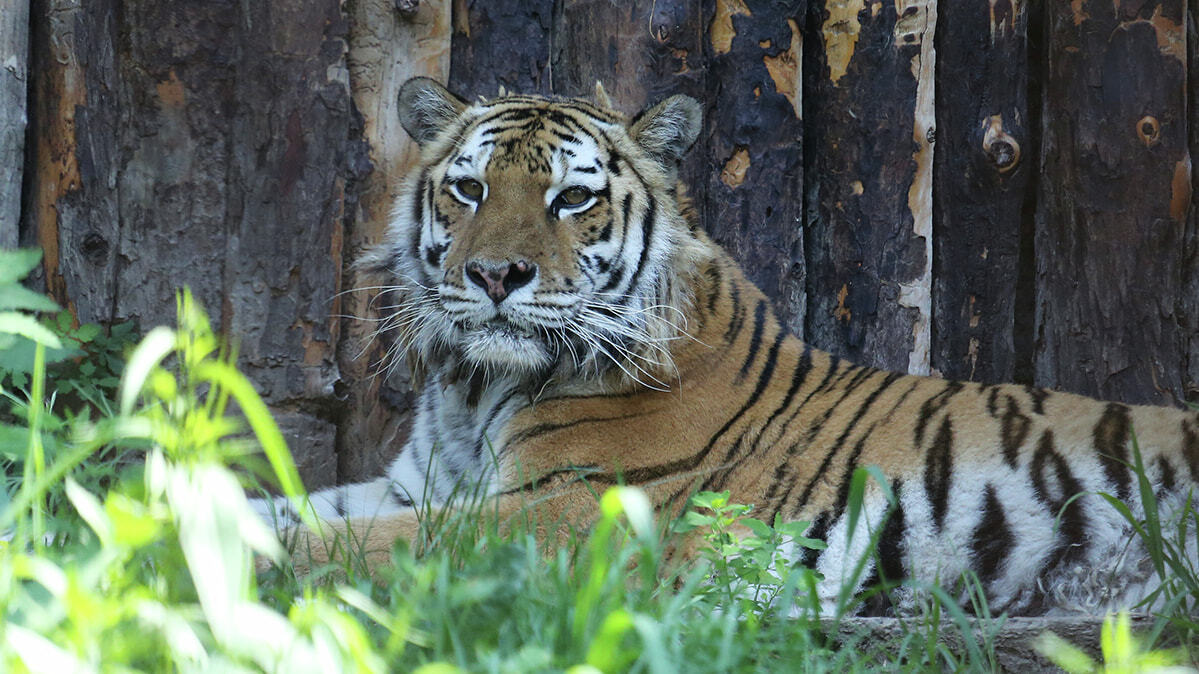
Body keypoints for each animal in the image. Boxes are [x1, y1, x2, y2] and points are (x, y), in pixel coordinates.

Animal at [255, 77, 1199, 614]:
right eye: (469, 189)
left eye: (570, 198)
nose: (494, 275)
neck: (474, 388)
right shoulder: (413, 489)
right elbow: (290, 508)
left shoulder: (564, 516)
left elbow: (345, 547)